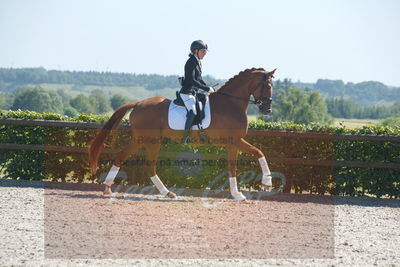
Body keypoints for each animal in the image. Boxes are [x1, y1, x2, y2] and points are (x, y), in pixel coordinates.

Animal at [87, 67, 276, 201]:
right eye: (267, 86)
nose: (267, 110)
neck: (230, 103)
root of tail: (138, 104)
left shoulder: (232, 143)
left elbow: (233, 166)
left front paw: (238, 194)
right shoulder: (235, 140)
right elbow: (258, 153)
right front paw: (266, 183)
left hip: (141, 139)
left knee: (123, 156)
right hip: (151, 140)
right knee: (148, 166)